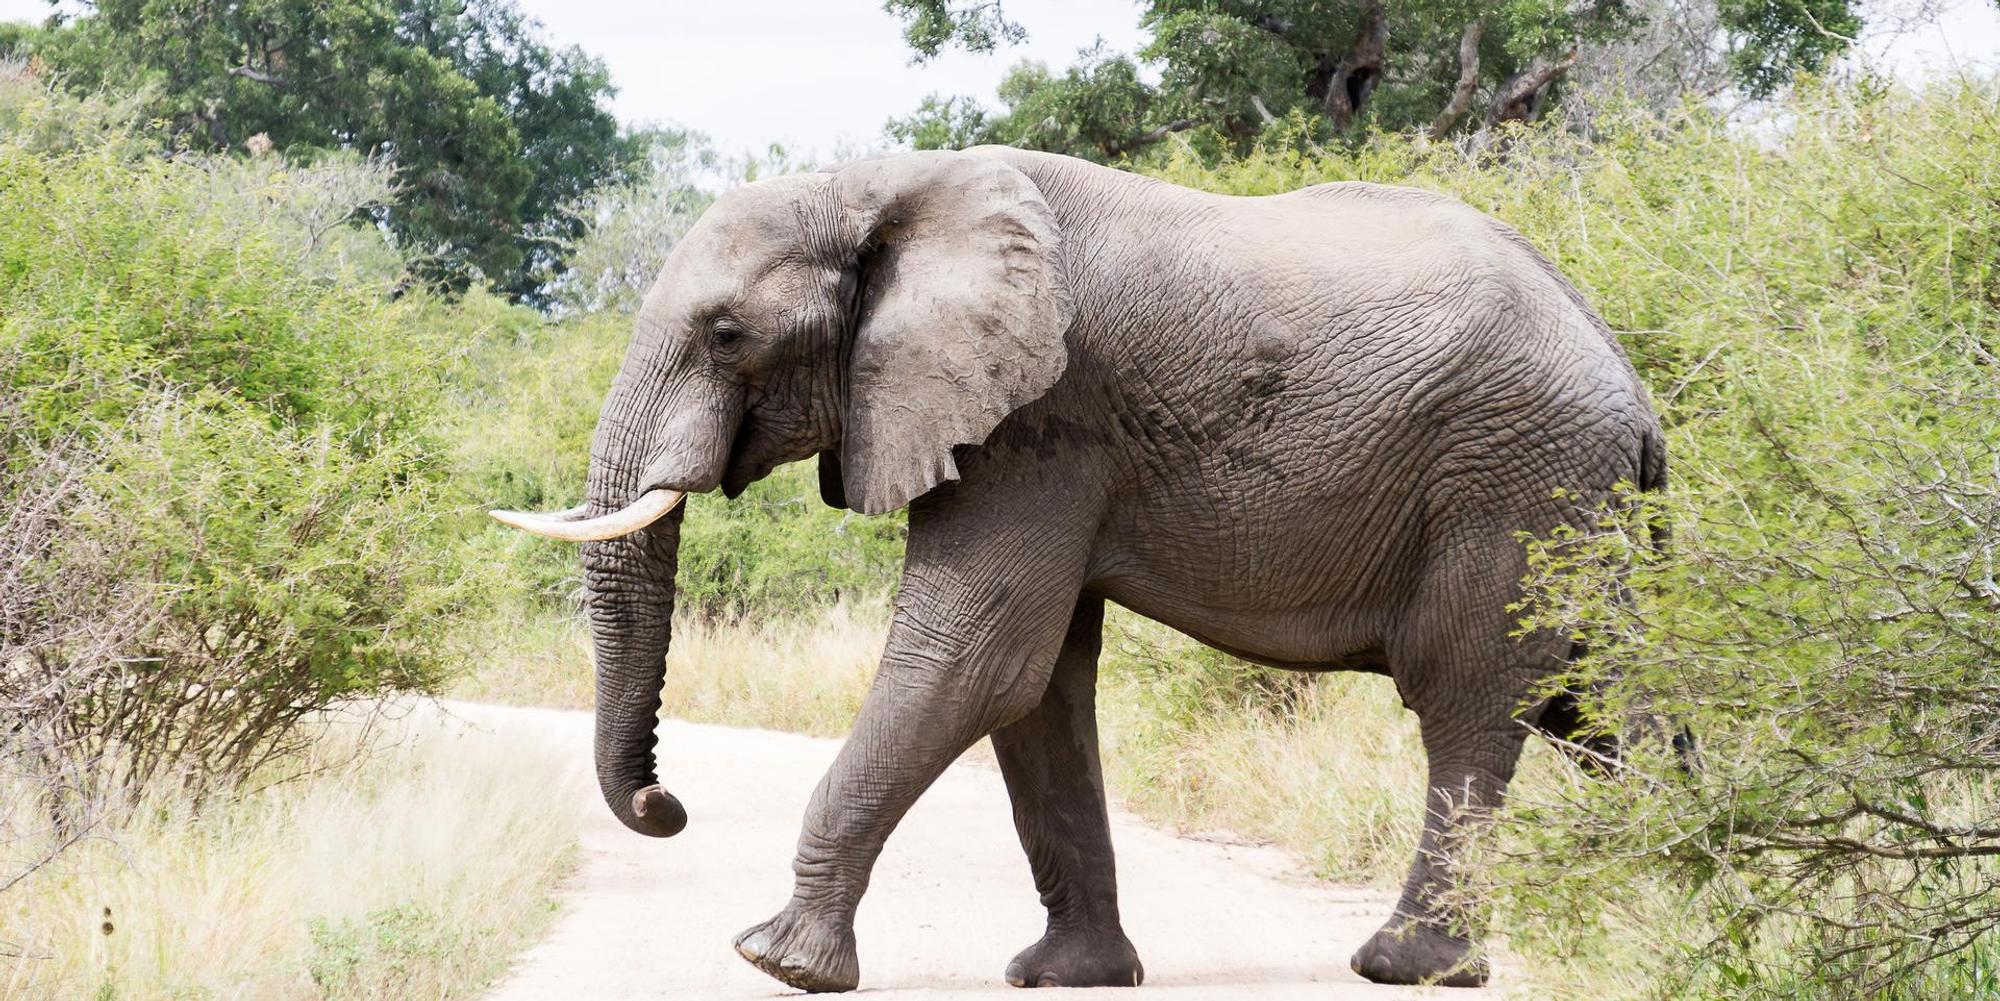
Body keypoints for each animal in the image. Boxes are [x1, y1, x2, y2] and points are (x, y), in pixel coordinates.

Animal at [493, 146, 1665, 991]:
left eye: (727, 334)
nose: (665, 804)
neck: (877, 182)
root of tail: (1630, 379)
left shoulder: (1041, 418)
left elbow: (973, 660)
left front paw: (775, 959)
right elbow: (1038, 686)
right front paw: (1068, 976)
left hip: (1512, 481)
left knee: (1470, 696)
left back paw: (1404, 966)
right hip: (1574, 502)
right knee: (1603, 700)